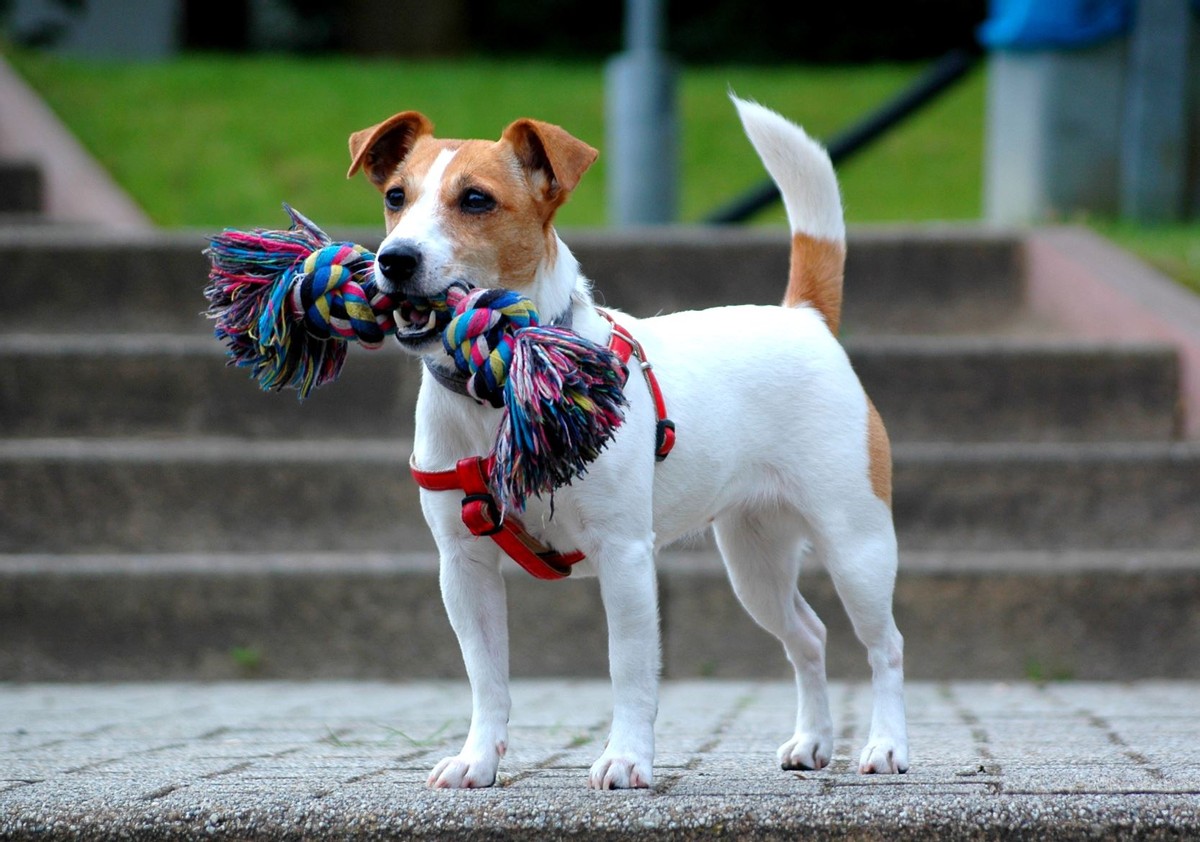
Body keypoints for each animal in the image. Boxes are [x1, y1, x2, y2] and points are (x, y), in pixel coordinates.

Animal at [343, 97, 902, 791]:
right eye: (396, 196)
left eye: (475, 200)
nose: (393, 258)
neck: (504, 379)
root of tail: (803, 317)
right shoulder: (463, 565)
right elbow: (487, 676)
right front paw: (478, 760)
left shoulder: (625, 555)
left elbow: (630, 669)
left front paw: (628, 758)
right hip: (756, 561)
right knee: (809, 635)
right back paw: (813, 741)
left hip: (857, 546)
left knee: (885, 647)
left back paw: (886, 744)